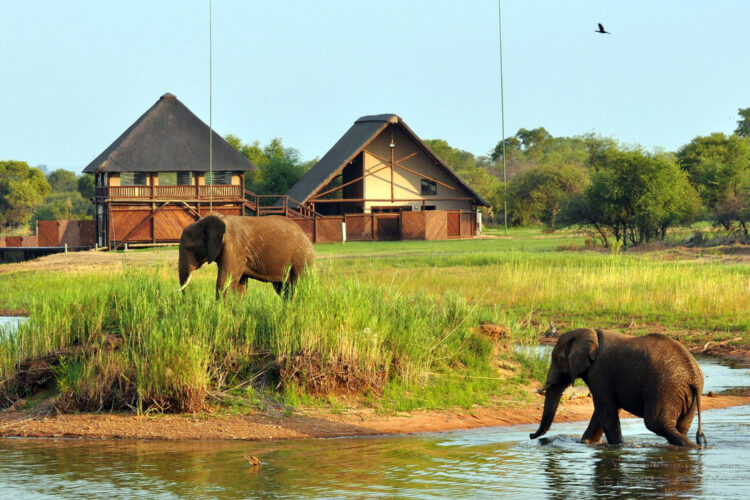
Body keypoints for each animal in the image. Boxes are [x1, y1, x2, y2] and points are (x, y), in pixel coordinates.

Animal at [178, 214, 314, 298]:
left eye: (189, 248)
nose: (186, 299)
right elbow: (239, 286)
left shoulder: (234, 248)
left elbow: (224, 282)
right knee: (283, 289)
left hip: (302, 258)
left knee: (301, 285)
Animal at [532, 328, 708, 450]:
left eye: (558, 359)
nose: (531, 435)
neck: (589, 332)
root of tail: (694, 375)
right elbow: (603, 412)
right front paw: (586, 442)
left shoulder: (599, 371)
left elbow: (605, 411)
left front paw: (617, 447)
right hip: (685, 395)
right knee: (680, 426)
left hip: (665, 389)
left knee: (656, 424)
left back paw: (695, 448)